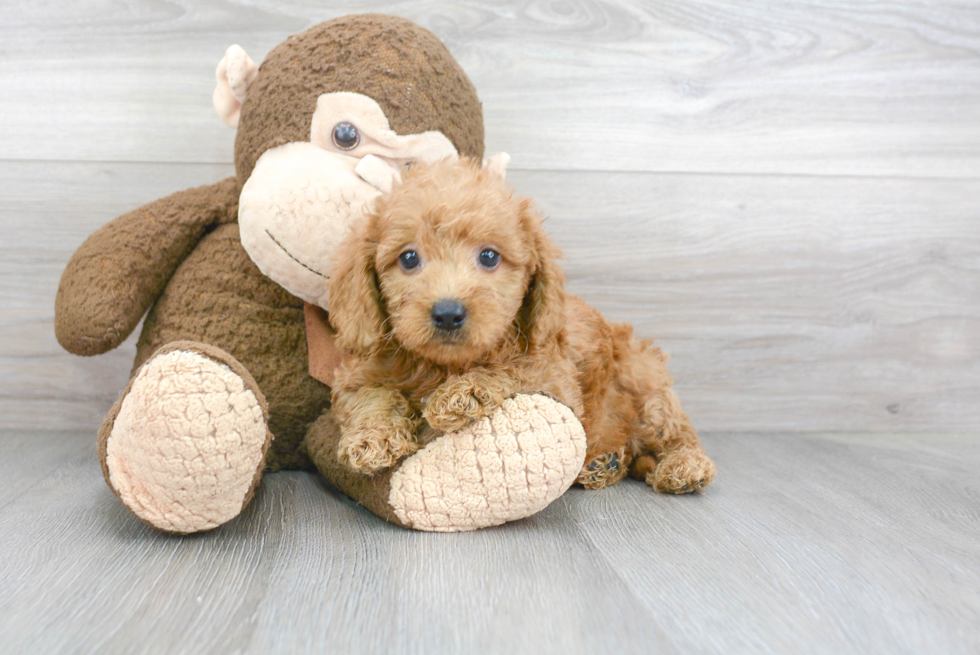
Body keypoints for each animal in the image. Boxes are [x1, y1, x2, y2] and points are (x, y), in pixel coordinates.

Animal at [326, 159, 716, 494]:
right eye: (408, 258)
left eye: (489, 257)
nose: (448, 313)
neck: (444, 365)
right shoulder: (359, 374)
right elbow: (372, 395)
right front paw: (372, 439)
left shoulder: (556, 381)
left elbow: (516, 371)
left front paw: (463, 393)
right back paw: (605, 464)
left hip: (645, 382)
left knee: (676, 432)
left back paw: (685, 466)